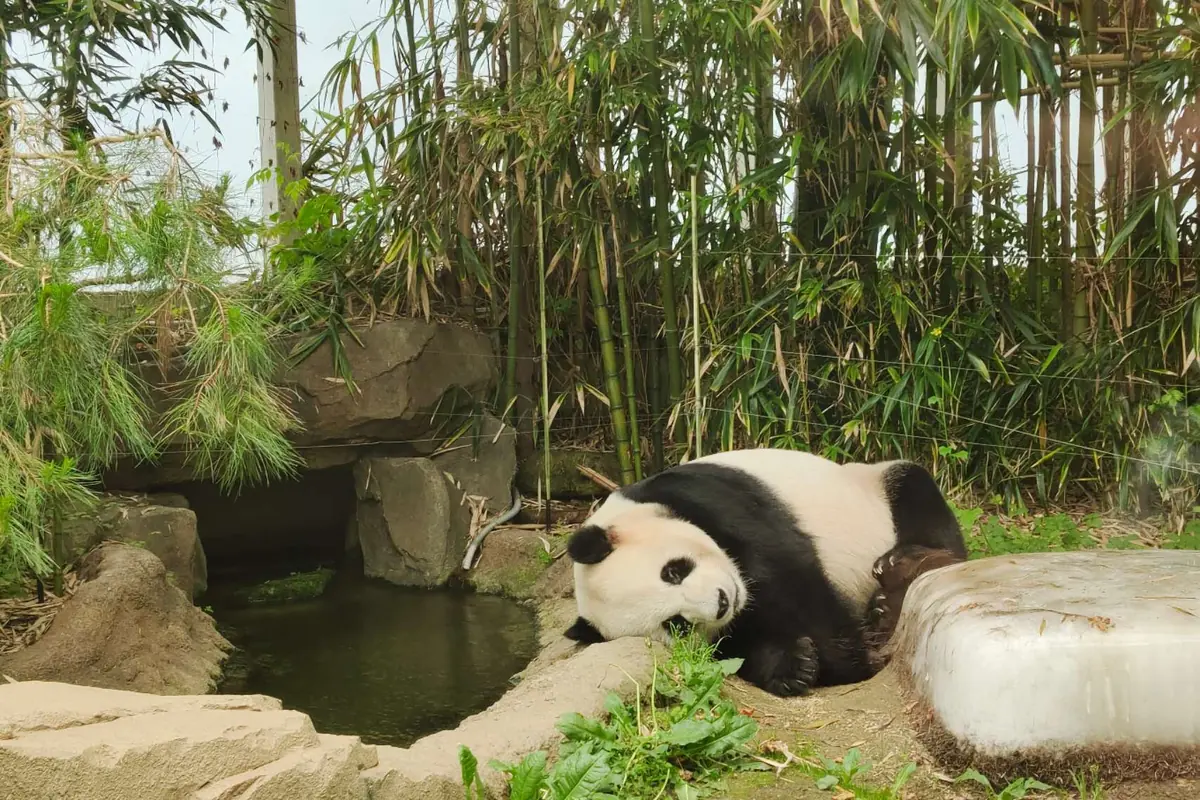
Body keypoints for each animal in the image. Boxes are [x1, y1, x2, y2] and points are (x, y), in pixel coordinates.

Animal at [562, 447, 967, 697]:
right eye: (676, 624)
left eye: (673, 572)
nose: (721, 602)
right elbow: (735, 646)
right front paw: (793, 665)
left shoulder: (711, 499)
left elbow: (793, 576)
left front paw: (855, 662)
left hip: (873, 485)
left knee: (914, 489)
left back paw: (902, 574)